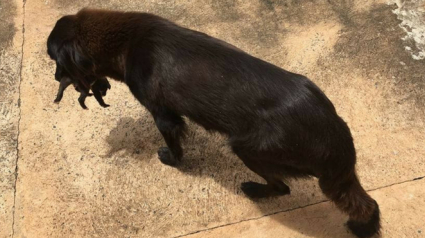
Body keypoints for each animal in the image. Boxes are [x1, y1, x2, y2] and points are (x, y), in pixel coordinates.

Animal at [47, 9, 380, 238]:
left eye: (54, 59)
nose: (55, 79)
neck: (127, 42)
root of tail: (337, 139)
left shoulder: (163, 114)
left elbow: (174, 145)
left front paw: (171, 160)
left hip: (250, 150)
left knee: (282, 187)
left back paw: (253, 189)